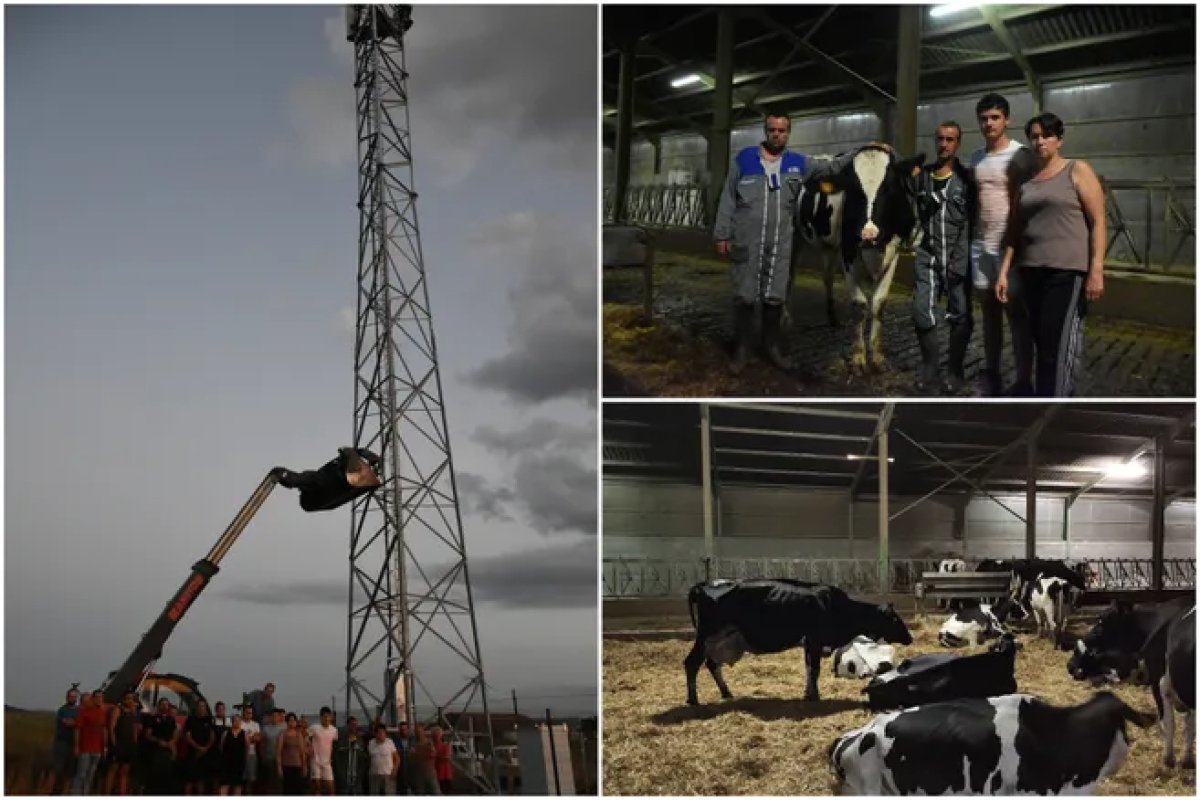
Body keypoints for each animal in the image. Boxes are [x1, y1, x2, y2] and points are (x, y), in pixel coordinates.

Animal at [686, 578, 907, 705]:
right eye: (896, 619)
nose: (910, 637)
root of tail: (703, 585)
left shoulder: (809, 644)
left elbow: (809, 669)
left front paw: (808, 694)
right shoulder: (815, 641)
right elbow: (814, 669)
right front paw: (815, 696)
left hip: (719, 641)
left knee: (712, 664)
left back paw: (726, 692)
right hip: (706, 636)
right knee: (691, 663)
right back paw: (693, 700)